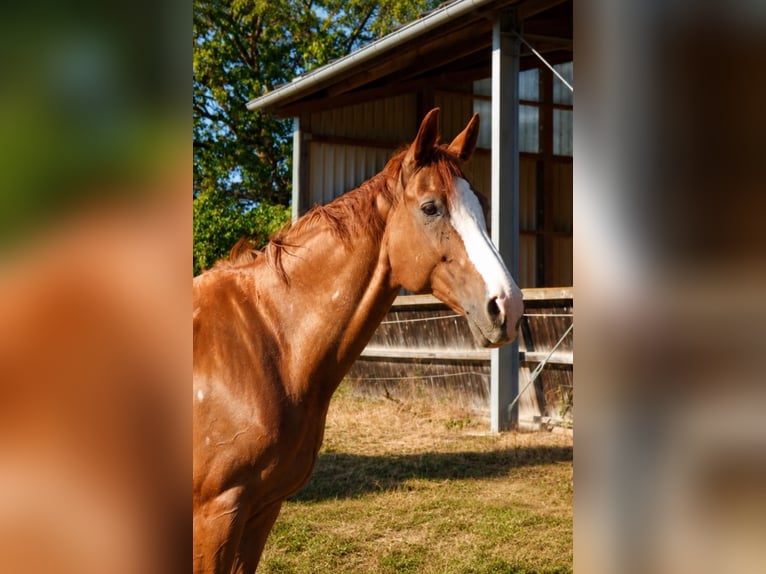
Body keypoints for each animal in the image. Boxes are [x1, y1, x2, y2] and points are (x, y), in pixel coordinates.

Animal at [192, 108, 524, 572]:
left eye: (483, 205)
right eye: (430, 207)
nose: (507, 306)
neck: (267, 338)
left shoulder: (261, 510)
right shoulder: (216, 515)